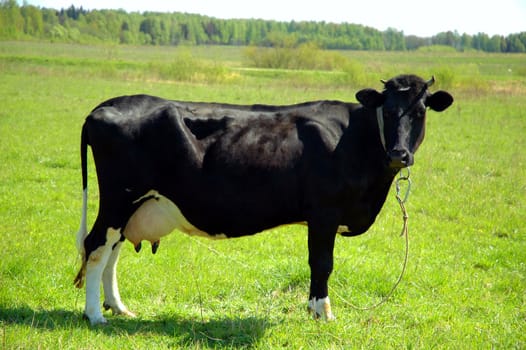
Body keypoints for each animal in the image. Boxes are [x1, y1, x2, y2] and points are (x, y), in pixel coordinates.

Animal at [73, 74, 454, 326]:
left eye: (420, 111)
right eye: (387, 111)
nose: (399, 154)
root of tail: (109, 104)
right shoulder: (324, 213)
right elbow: (322, 263)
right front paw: (322, 312)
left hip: (131, 205)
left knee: (112, 250)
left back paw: (118, 307)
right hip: (119, 198)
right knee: (96, 247)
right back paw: (95, 315)